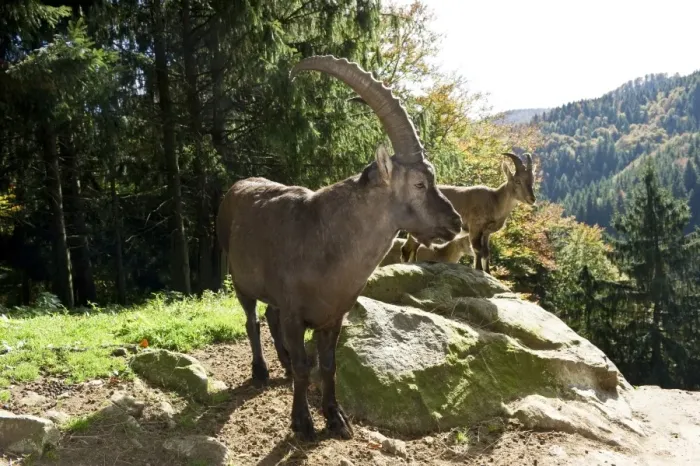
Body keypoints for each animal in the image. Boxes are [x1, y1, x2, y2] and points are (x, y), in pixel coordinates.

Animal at [215, 55, 462, 441]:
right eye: (420, 184)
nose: (456, 223)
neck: (325, 244)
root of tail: (234, 189)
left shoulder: (333, 317)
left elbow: (329, 367)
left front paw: (337, 419)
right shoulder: (296, 314)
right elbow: (307, 367)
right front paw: (302, 424)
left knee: (269, 317)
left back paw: (283, 365)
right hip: (239, 278)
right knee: (252, 321)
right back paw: (261, 371)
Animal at [401, 152, 536, 274]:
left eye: (531, 181)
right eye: (518, 181)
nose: (532, 199)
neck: (494, 200)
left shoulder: (486, 233)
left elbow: (486, 252)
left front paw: (488, 272)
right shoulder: (475, 227)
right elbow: (477, 249)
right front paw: (479, 270)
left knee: (412, 247)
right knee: (407, 248)